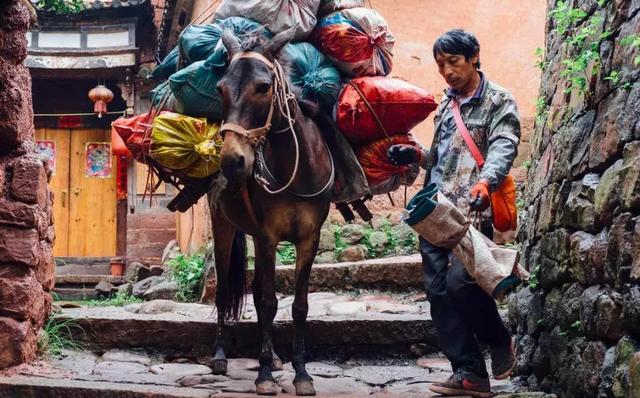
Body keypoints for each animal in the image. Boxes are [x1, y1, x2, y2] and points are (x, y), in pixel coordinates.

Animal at [206, 29, 336, 396]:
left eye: (263, 87)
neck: (298, 167)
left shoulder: (309, 238)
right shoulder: (268, 236)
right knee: (224, 290)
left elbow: (298, 305)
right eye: (220, 88)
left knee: (256, 289)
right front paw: (263, 376)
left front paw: (301, 374)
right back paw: (220, 357)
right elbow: (267, 303)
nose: (232, 161)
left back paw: (276, 358)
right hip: (222, 227)